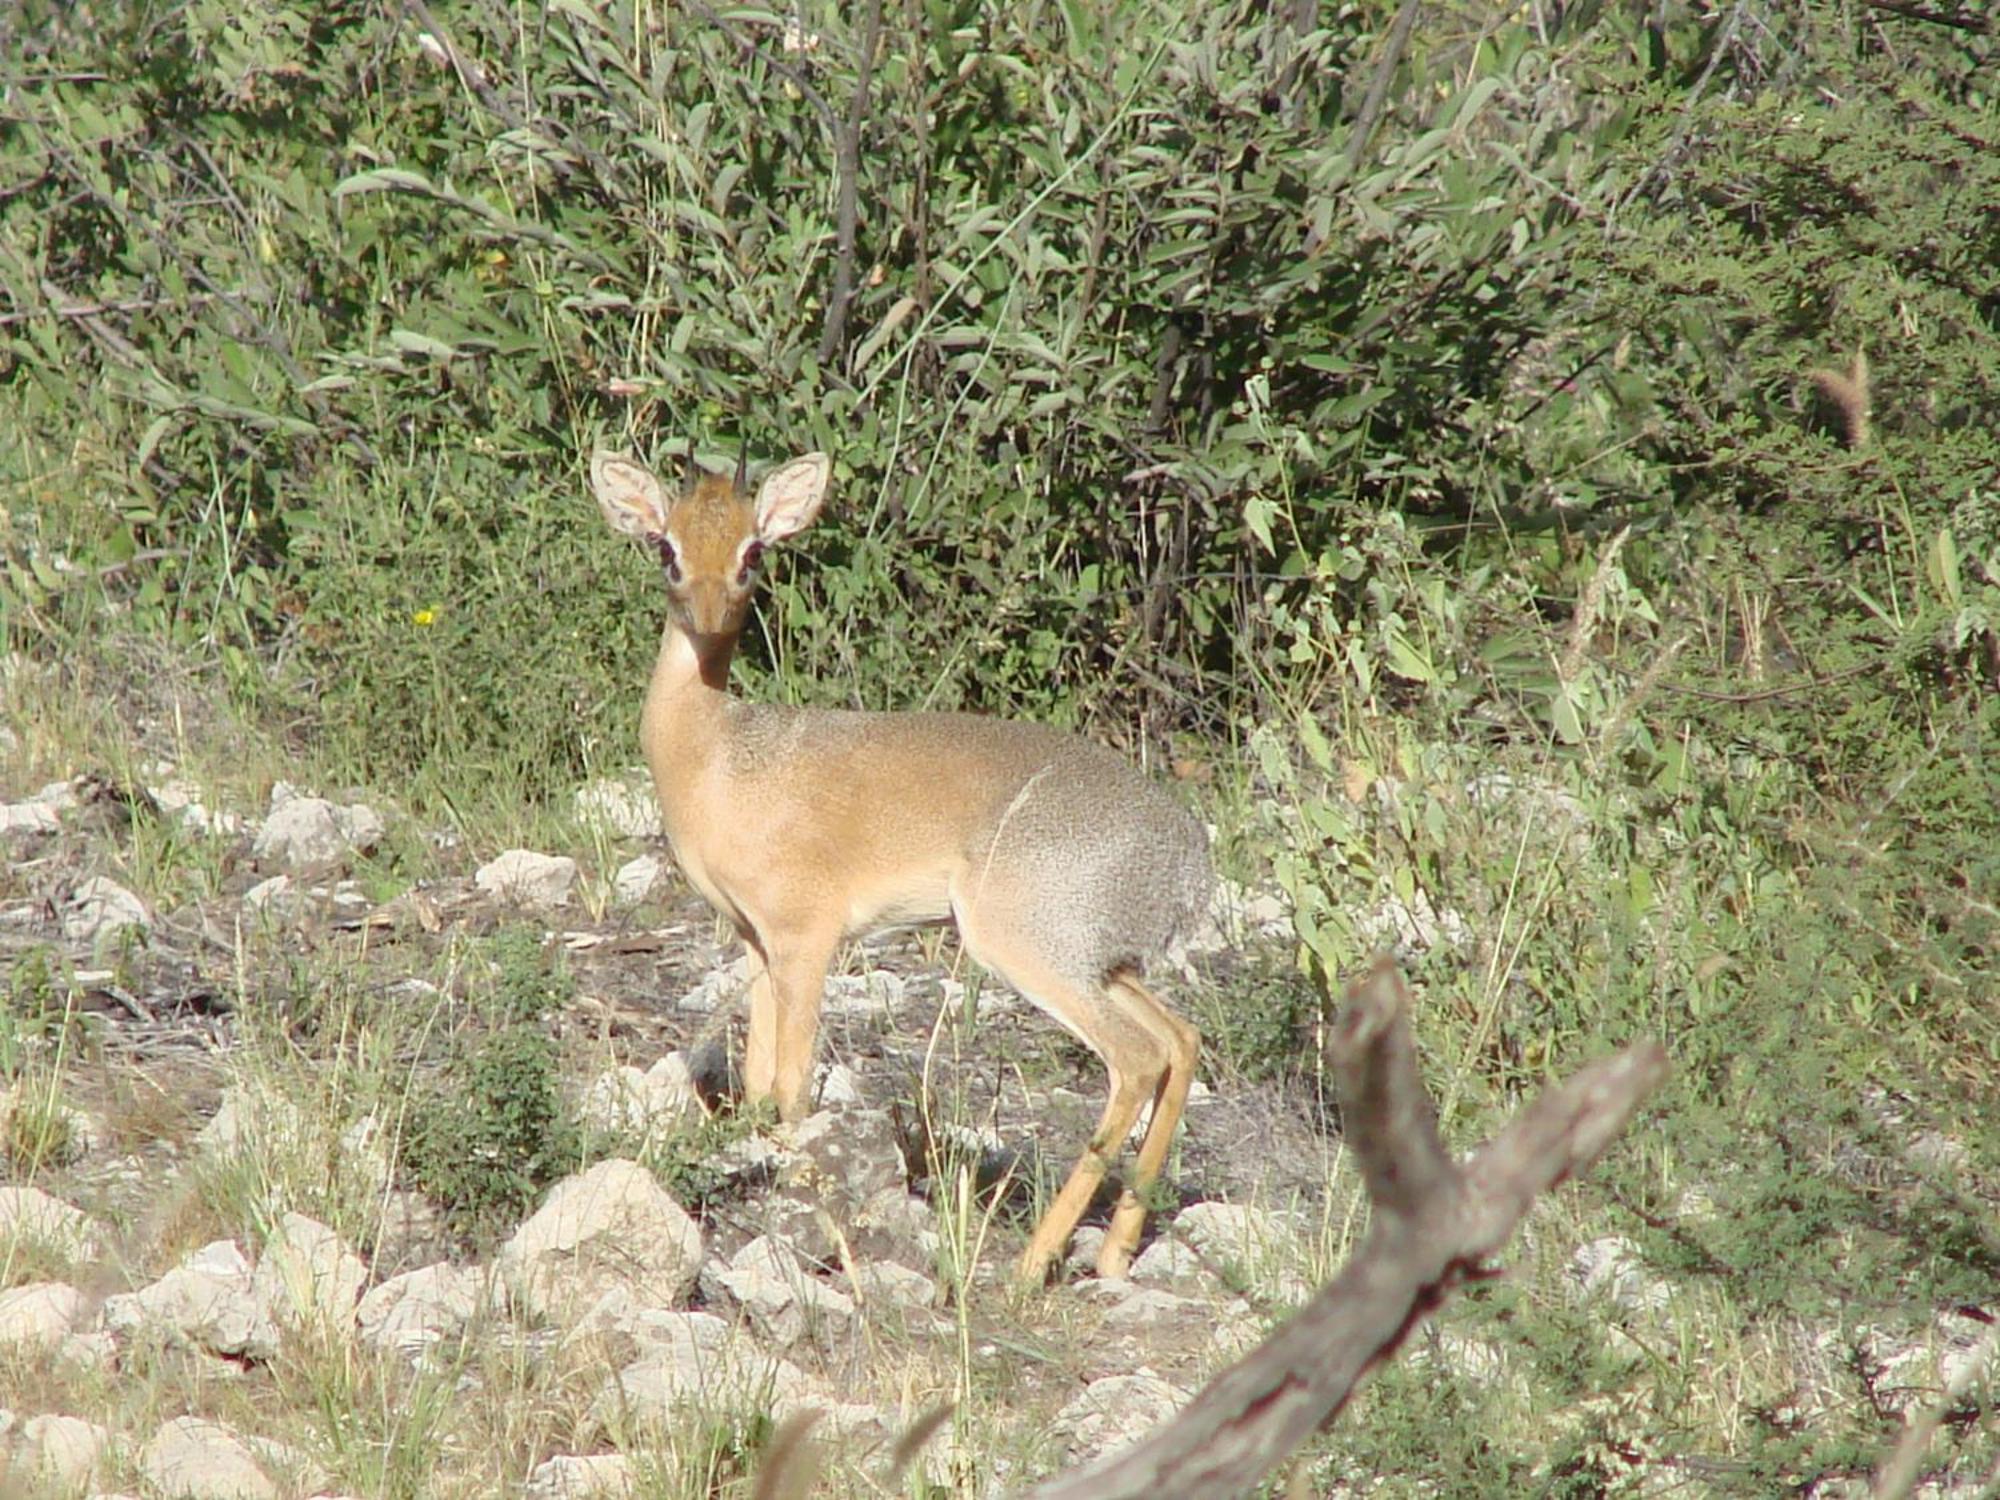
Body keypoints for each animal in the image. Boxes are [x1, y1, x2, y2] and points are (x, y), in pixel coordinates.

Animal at [592, 452, 1208, 1288]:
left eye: (753, 551)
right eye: (666, 546)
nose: (711, 613)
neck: (718, 757)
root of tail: (1186, 855)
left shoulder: (807, 935)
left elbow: (791, 1084)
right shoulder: (753, 939)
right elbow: (756, 1079)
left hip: (1025, 949)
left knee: (1138, 1058)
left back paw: (1031, 1263)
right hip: (1101, 963)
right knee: (1181, 1039)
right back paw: (1113, 1251)